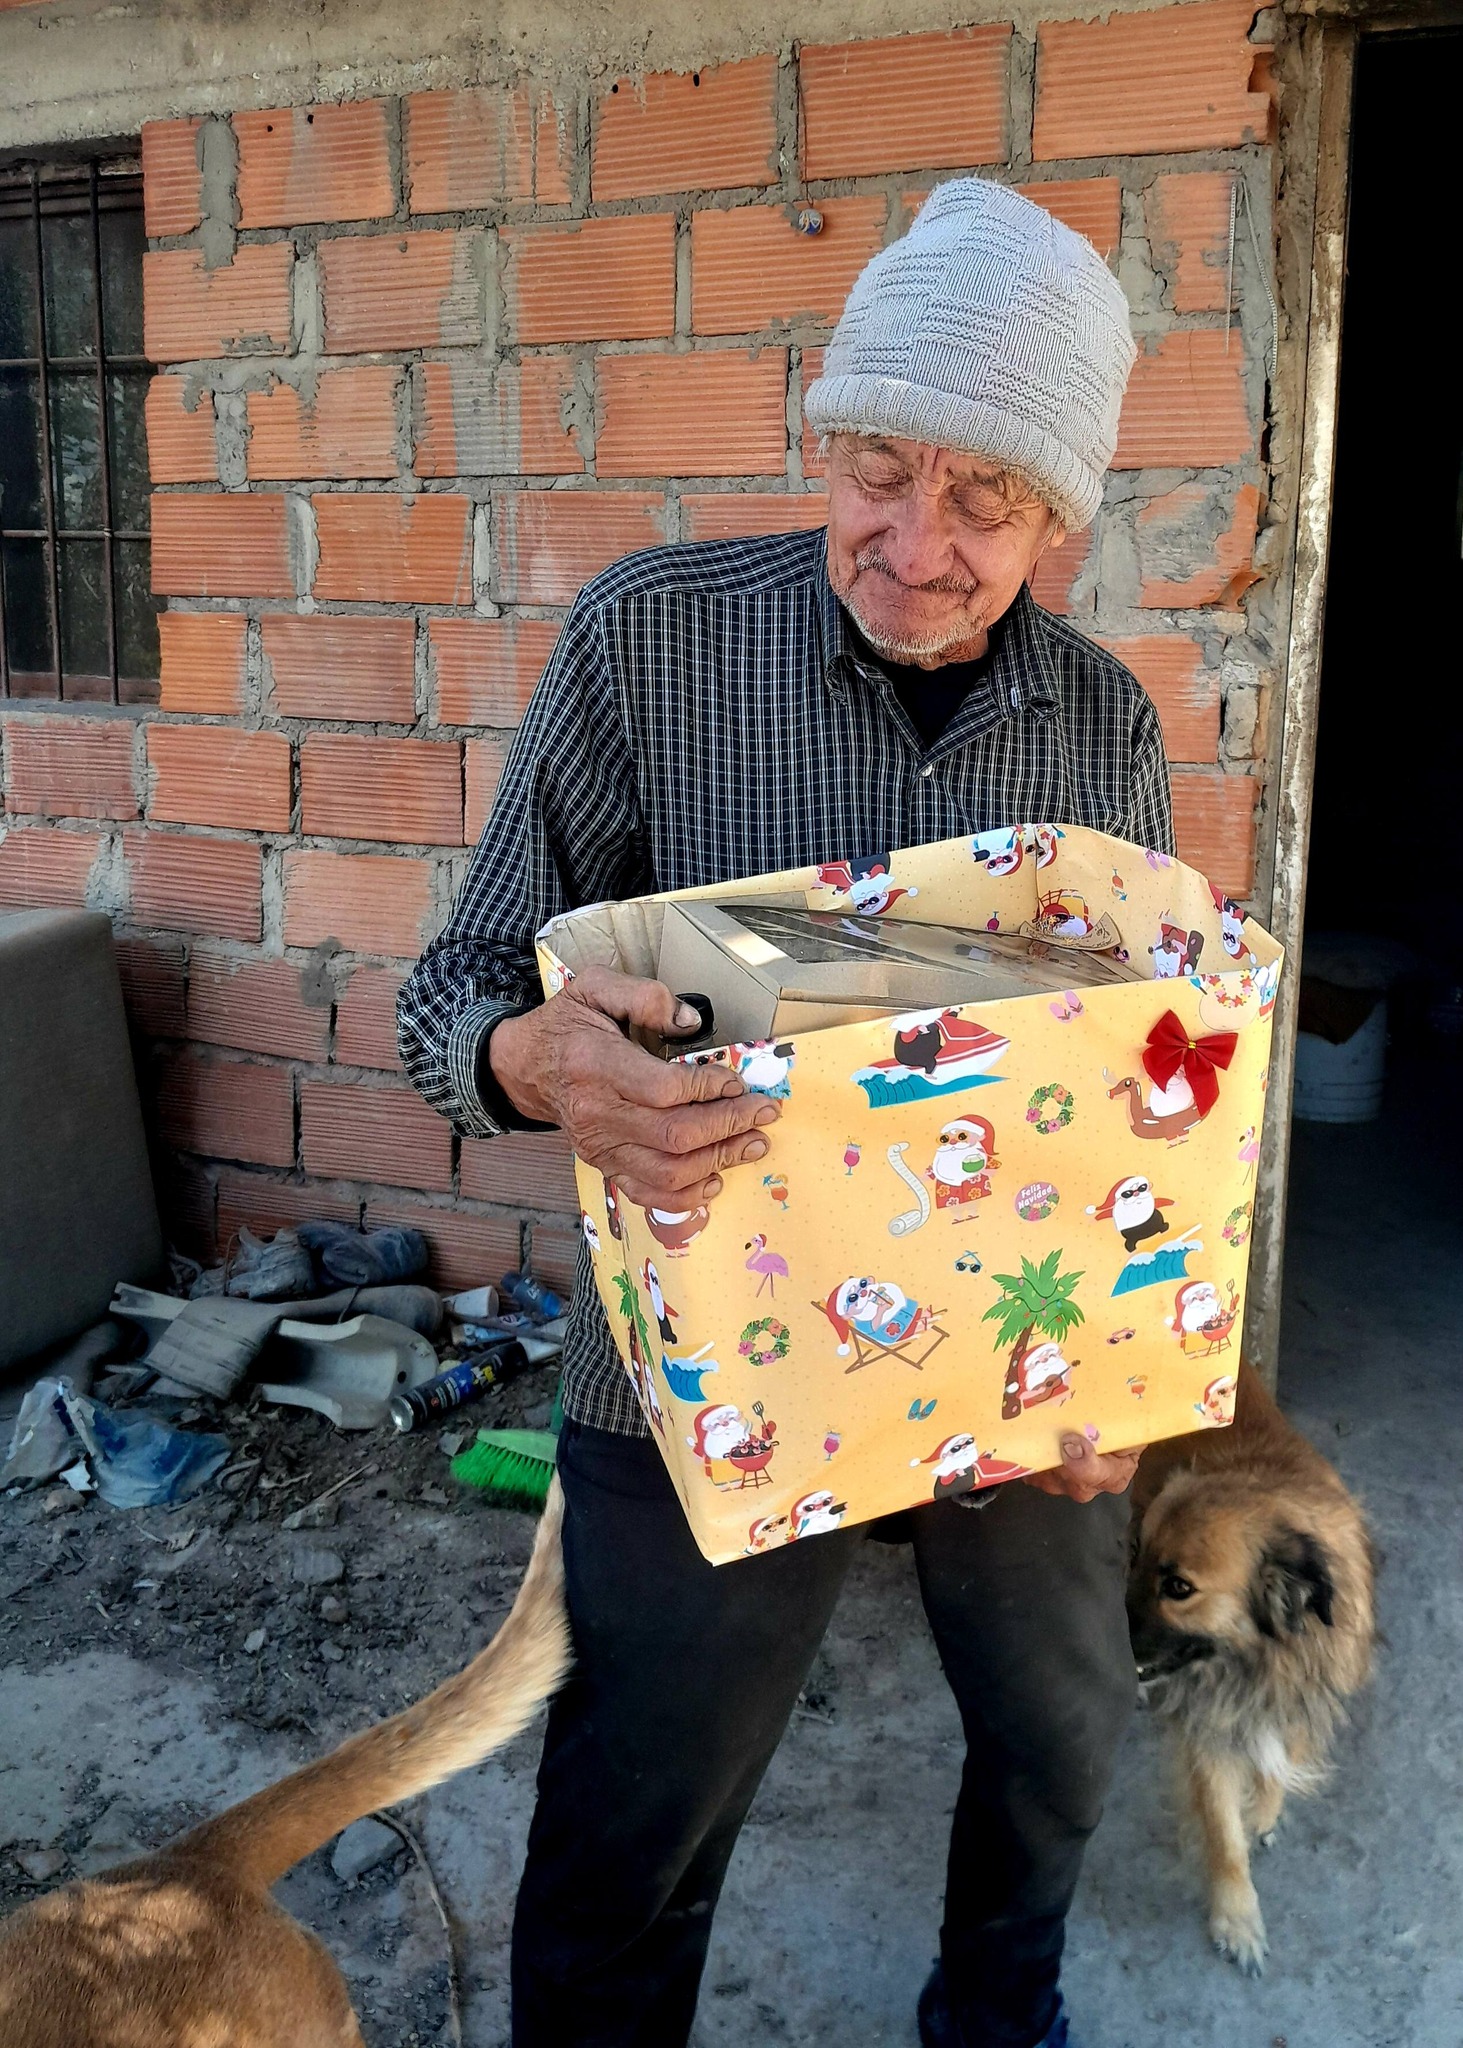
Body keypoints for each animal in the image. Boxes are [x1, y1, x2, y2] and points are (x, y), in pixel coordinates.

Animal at [1127, 1369, 1374, 1976]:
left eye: (1179, 1588)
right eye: (1134, 1554)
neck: (1259, 1656)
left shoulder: (1308, 1687)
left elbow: (1279, 1763)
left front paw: (1262, 1811)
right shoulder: (1207, 1730)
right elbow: (1222, 1832)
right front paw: (1237, 1920)